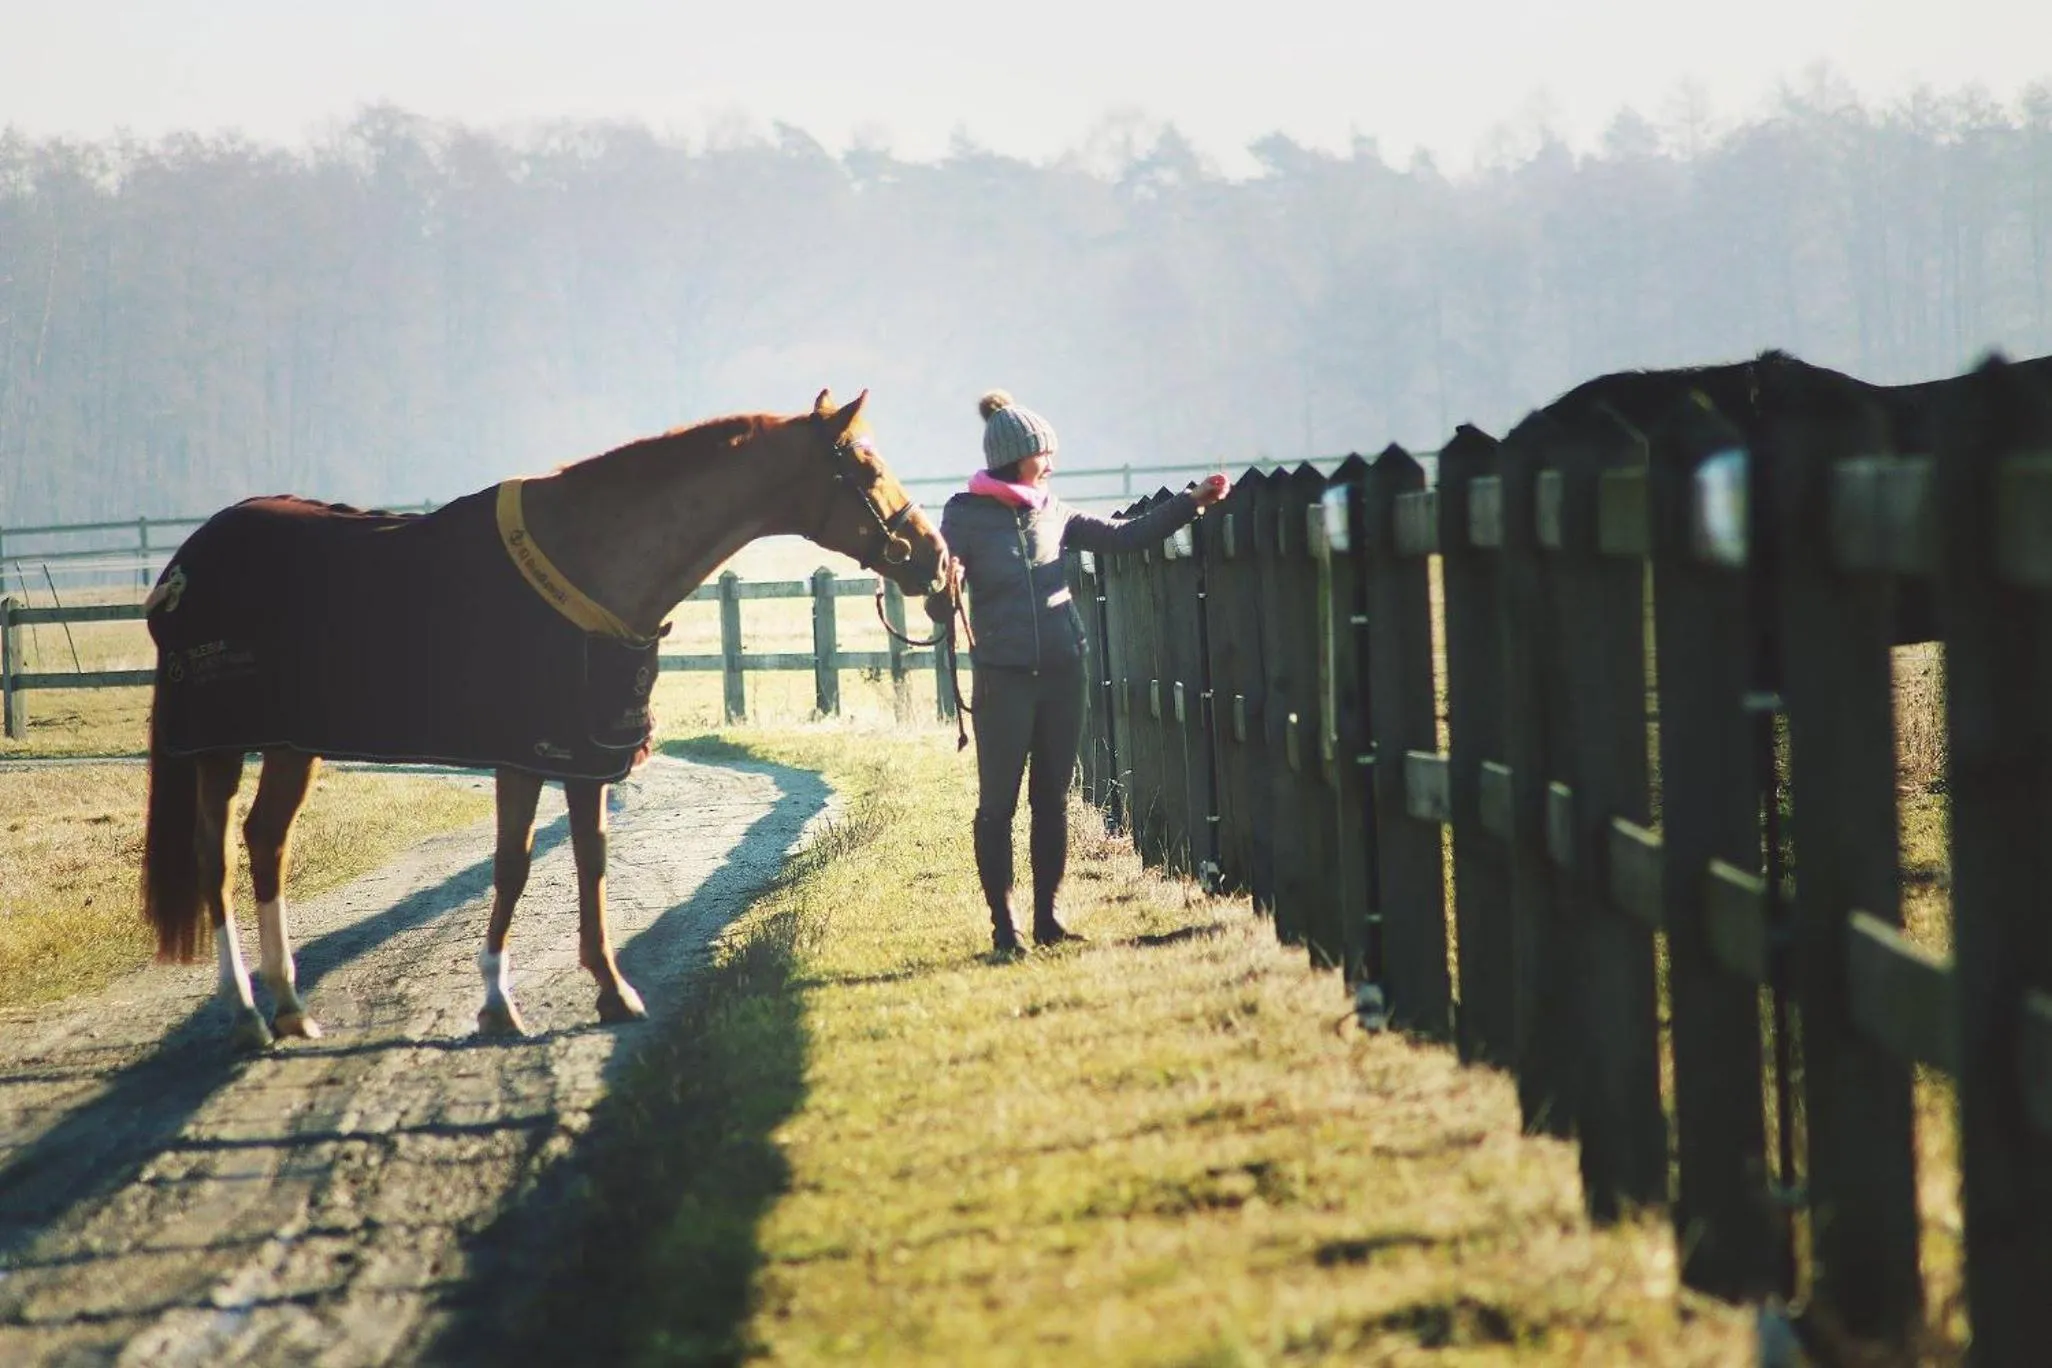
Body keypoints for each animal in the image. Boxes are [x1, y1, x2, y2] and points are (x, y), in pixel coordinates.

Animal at [140, 389, 949, 1049]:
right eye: (865, 469)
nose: (935, 560)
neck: (593, 558)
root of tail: (181, 567)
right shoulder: (530, 753)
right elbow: (516, 864)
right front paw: (500, 1002)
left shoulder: (582, 757)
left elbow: (585, 859)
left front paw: (608, 990)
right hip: (218, 745)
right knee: (216, 858)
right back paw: (246, 1014)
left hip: (290, 744)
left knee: (266, 842)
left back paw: (289, 1006)